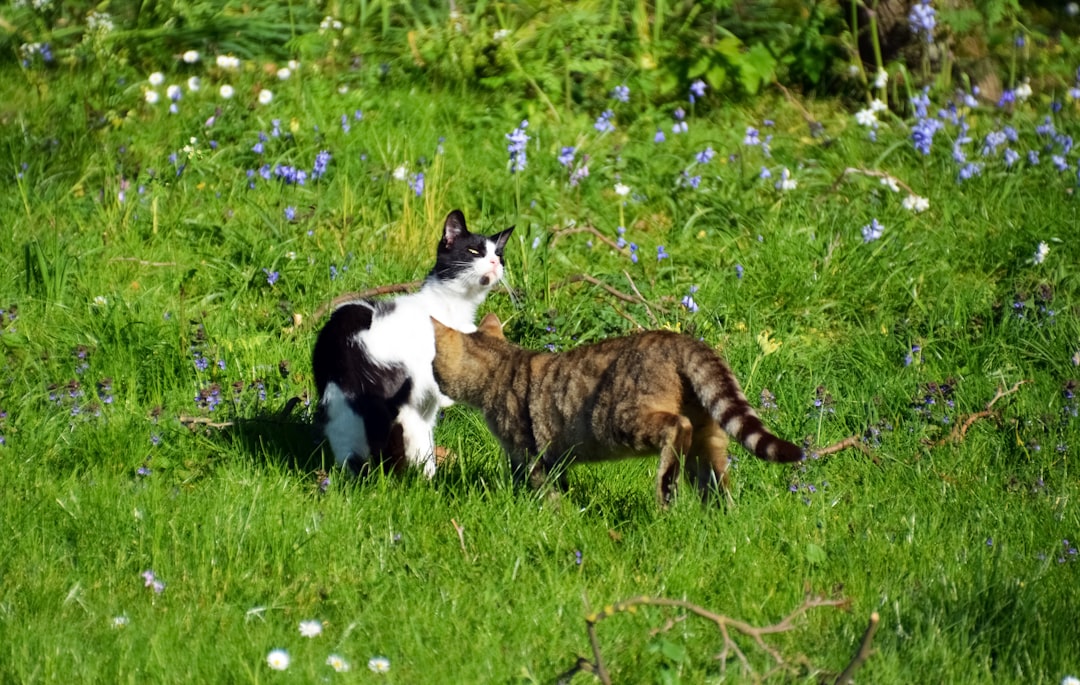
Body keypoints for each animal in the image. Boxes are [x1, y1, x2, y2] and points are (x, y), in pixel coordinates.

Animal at [313, 210, 514, 477]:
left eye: (499, 255)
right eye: (474, 251)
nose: (494, 263)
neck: (452, 307)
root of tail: (353, 345)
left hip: (341, 403)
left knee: (351, 445)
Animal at [429, 311, 803, 503]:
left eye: (433, 364)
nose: (432, 379)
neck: (503, 364)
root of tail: (678, 338)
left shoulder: (529, 453)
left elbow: (542, 491)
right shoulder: (553, 458)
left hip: (620, 421)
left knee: (676, 429)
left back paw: (665, 489)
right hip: (707, 439)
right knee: (715, 481)